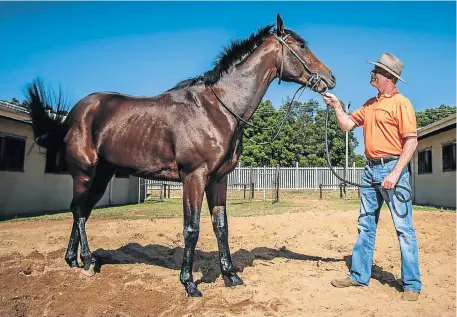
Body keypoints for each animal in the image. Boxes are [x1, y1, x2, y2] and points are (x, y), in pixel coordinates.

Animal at [27, 14, 334, 296]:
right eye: (301, 45)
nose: (330, 79)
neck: (218, 109)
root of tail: (76, 112)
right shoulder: (193, 177)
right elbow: (192, 227)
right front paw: (189, 283)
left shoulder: (218, 180)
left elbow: (221, 227)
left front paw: (231, 276)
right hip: (84, 172)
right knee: (79, 210)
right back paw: (88, 261)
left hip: (102, 175)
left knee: (83, 209)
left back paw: (73, 261)